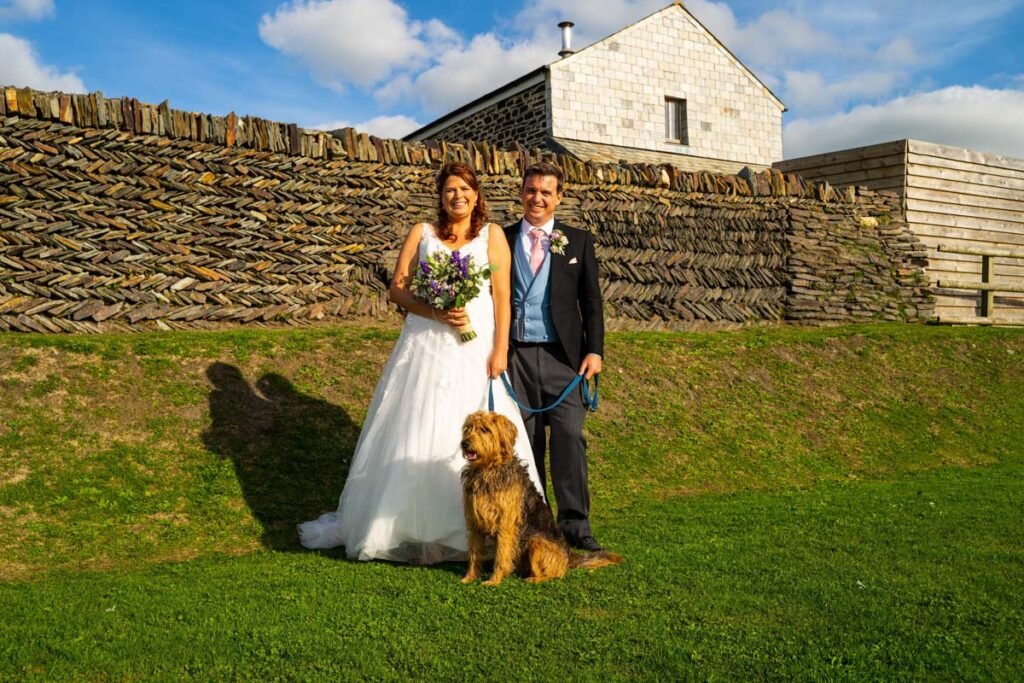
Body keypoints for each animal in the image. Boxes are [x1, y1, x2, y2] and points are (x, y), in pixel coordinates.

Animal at [458, 411, 618, 589]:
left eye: (485, 429)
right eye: (468, 429)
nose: (464, 443)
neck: (487, 470)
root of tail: (569, 555)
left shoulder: (506, 526)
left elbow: (501, 556)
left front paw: (494, 580)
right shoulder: (474, 522)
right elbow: (474, 553)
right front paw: (469, 577)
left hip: (537, 543)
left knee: (556, 575)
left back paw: (533, 578)